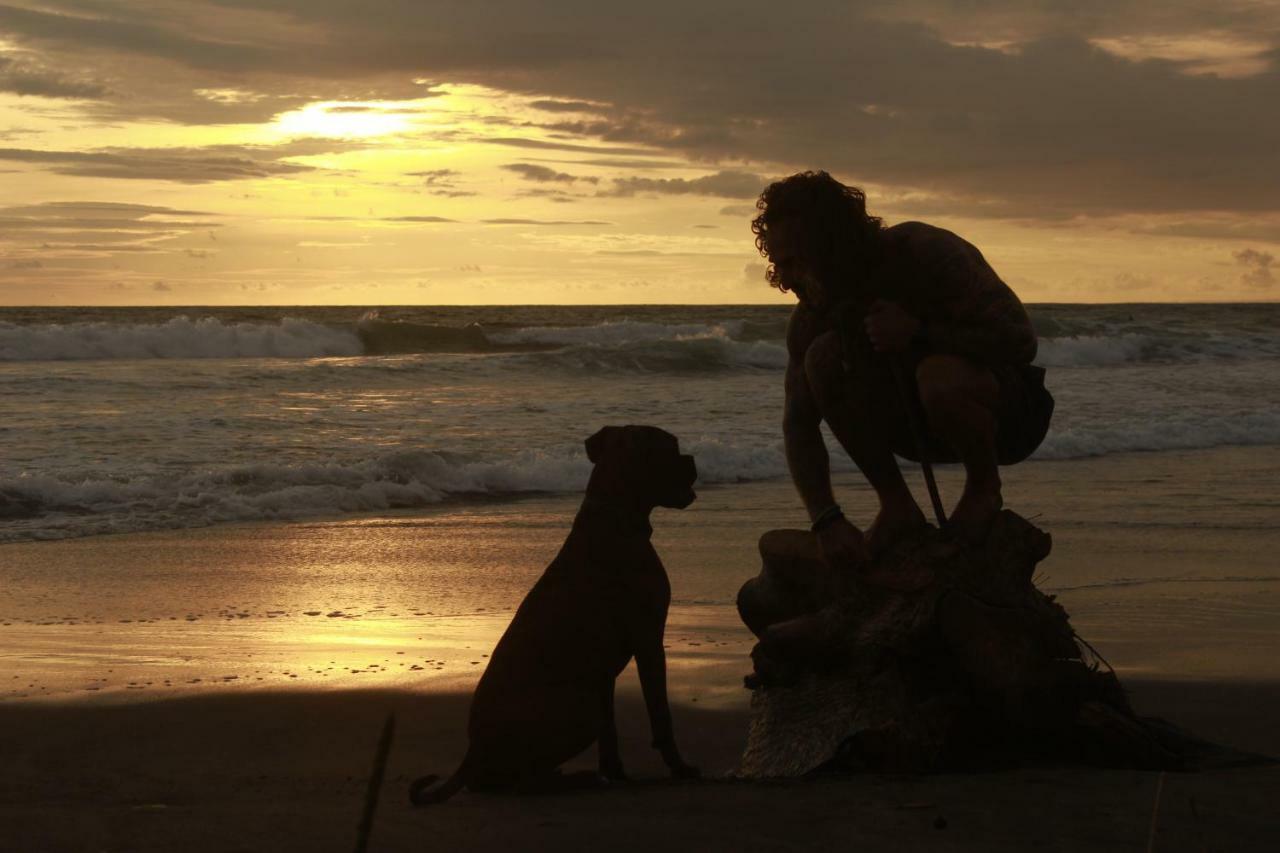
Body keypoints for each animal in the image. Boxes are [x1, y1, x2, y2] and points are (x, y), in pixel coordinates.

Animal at [412, 425, 701, 804]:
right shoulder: (648, 641)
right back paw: (577, 778)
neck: (614, 521)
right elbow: (661, 714)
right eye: (671, 448)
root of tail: (471, 755)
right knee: (524, 782)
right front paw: (679, 767)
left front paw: (616, 772)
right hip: (580, 706)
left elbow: (611, 732)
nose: (692, 459)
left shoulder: (602, 675)